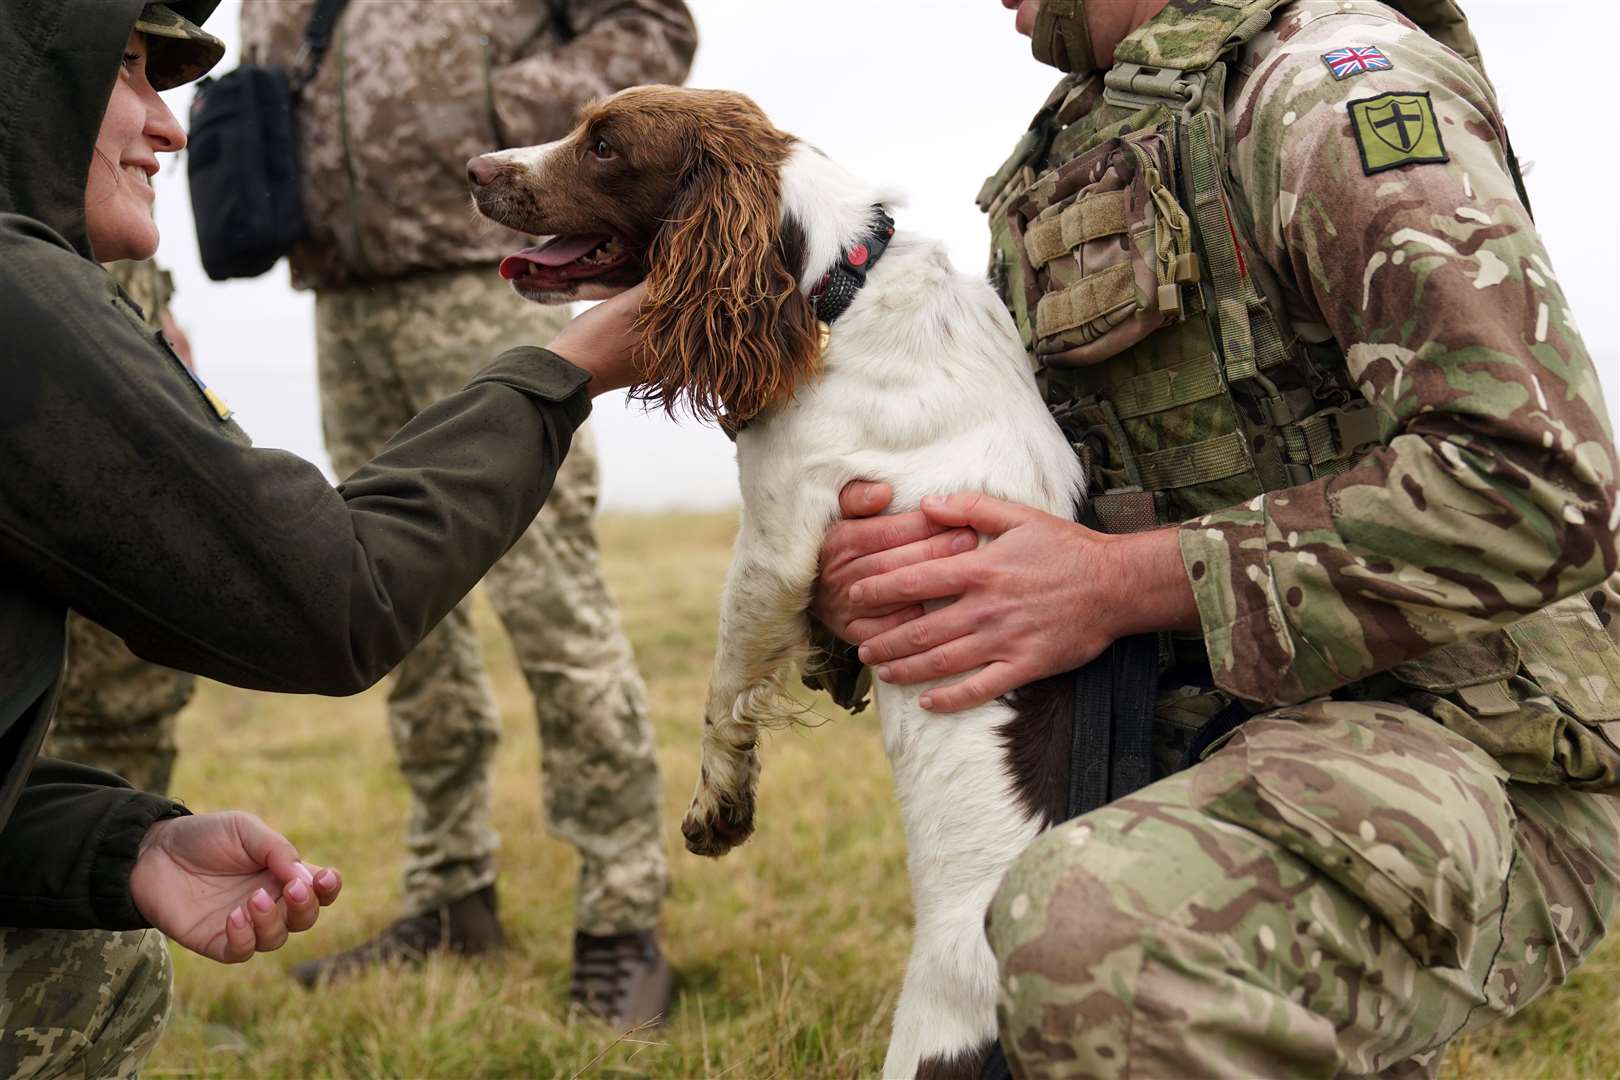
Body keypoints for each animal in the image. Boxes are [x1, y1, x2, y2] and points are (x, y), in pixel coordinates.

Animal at [469, 86, 1082, 1080]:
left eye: (604, 145)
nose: (474, 170)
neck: (841, 290)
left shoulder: (776, 541)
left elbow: (724, 695)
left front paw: (717, 807)